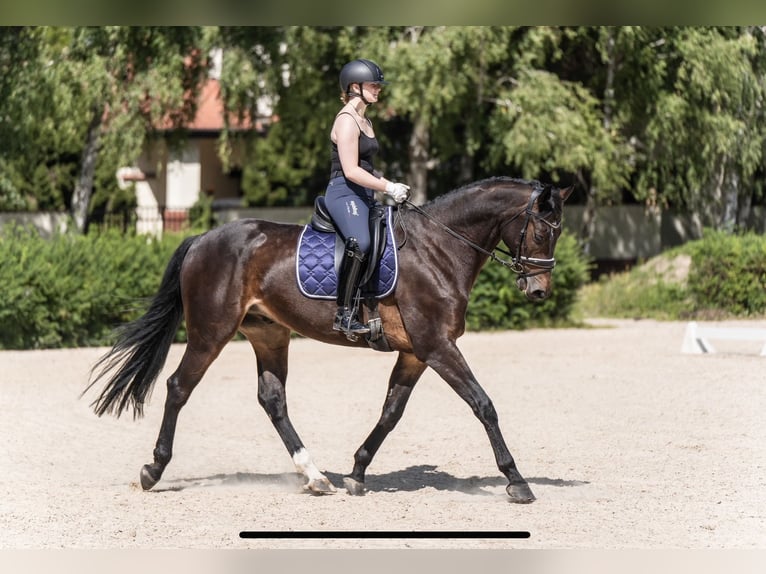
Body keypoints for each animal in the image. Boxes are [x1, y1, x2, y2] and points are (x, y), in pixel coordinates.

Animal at [84, 176, 573, 503]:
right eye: (542, 230)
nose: (539, 290)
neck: (439, 249)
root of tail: (204, 237)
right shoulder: (437, 346)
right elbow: (483, 404)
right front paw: (516, 481)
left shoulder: (416, 353)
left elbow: (391, 413)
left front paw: (357, 471)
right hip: (211, 333)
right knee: (178, 388)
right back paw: (153, 469)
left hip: (269, 335)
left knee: (272, 399)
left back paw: (315, 476)